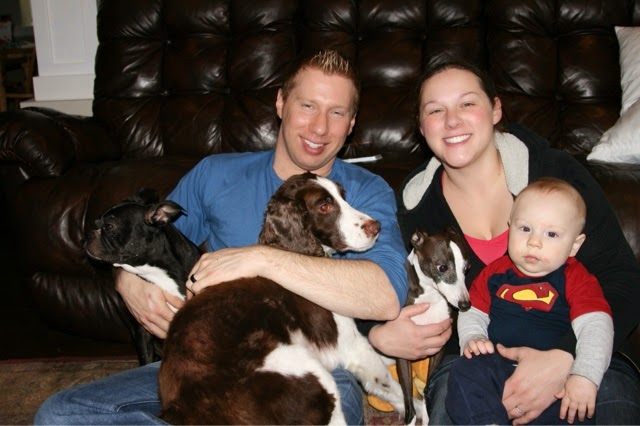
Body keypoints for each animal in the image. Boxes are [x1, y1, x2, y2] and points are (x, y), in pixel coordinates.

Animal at [85, 188, 201, 363]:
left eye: (109, 226)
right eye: (96, 223)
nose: (88, 235)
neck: (157, 271)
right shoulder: (142, 330)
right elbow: (146, 357)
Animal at [156, 172, 420, 424]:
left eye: (343, 196)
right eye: (324, 206)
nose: (376, 227)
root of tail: (182, 409)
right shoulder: (349, 345)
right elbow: (390, 385)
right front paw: (417, 409)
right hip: (308, 374)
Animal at [398, 228, 471, 425]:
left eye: (466, 269)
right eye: (442, 267)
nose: (465, 305)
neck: (429, 298)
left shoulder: (438, 348)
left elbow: (427, 388)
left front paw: (426, 415)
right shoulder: (402, 352)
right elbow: (408, 398)